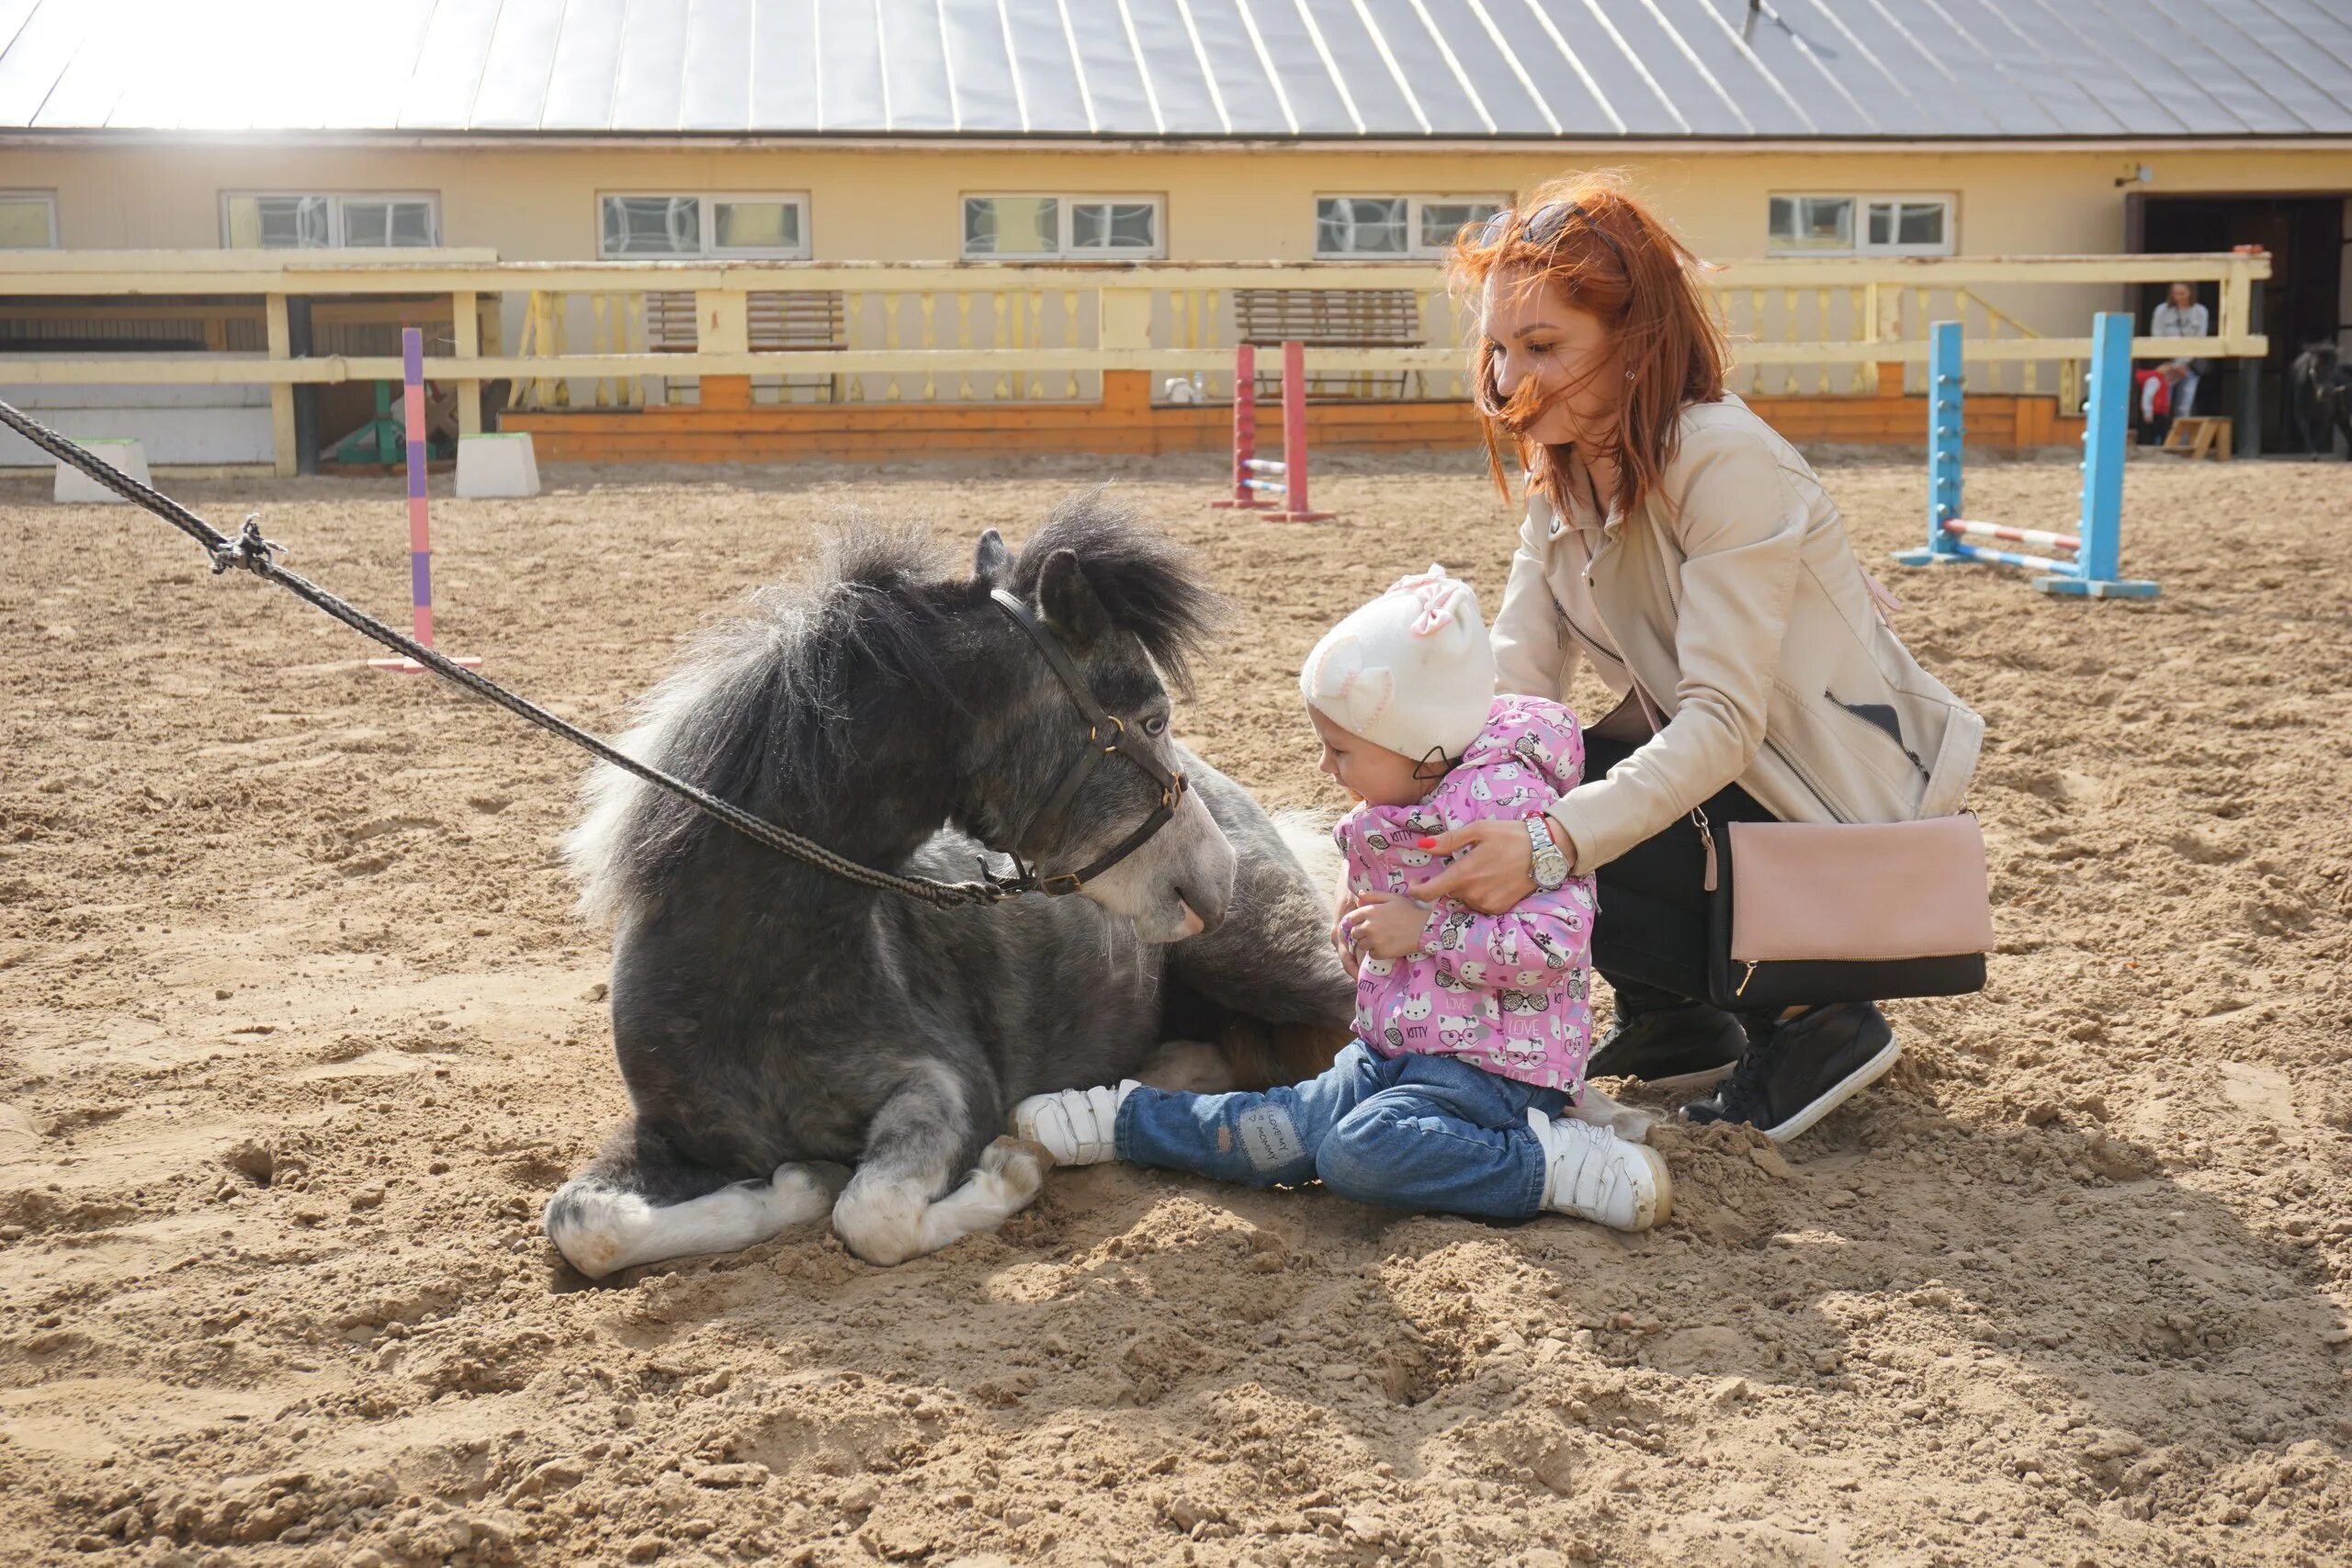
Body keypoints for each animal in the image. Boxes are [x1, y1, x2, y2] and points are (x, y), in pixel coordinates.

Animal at [543, 501, 1354, 1279]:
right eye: (1152, 718)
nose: (1217, 873)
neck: (752, 968)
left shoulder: (945, 1085)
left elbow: (872, 1214)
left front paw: (1007, 1171)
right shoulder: (667, 1132)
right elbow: (584, 1224)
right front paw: (790, 1184)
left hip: (1262, 961)